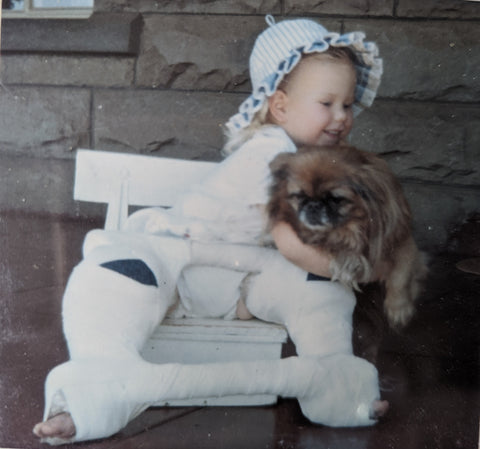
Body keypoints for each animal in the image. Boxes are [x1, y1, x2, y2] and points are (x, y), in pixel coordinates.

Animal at [266, 144, 428, 326]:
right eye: (299, 196)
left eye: (335, 199)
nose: (314, 205)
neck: (351, 229)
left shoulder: (404, 244)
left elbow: (401, 276)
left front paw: (399, 308)